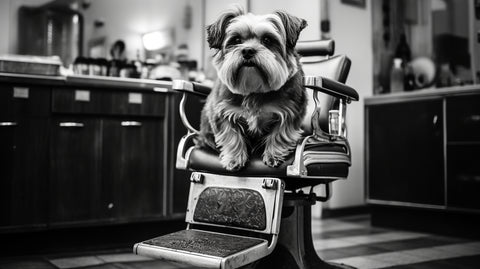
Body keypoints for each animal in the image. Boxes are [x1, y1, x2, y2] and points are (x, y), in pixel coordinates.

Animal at [198, 7, 308, 171]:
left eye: (267, 40)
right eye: (236, 40)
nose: (247, 50)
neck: (254, 89)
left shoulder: (291, 111)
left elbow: (280, 133)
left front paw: (273, 155)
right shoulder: (221, 111)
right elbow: (231, 135)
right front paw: (234, 158)